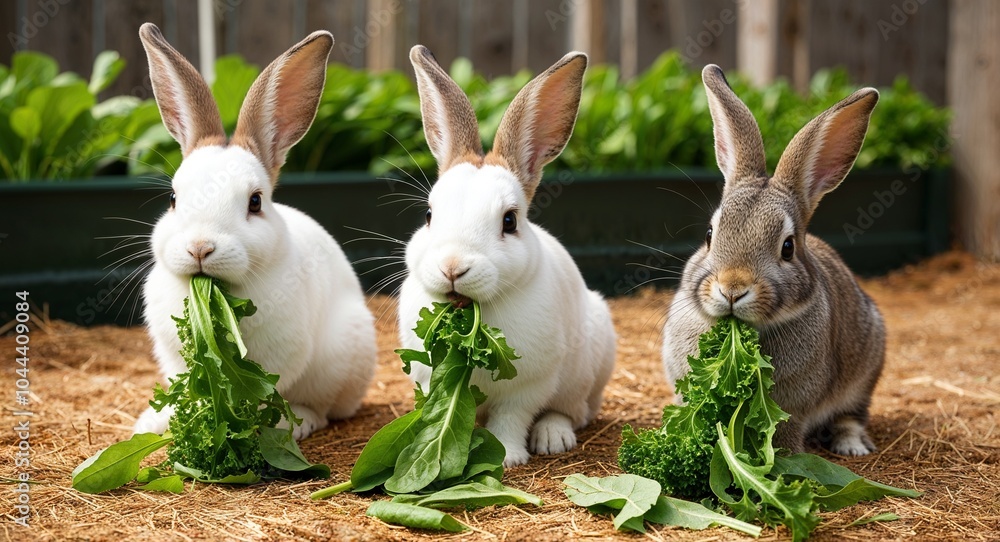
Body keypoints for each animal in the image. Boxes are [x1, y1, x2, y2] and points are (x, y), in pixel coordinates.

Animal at [132, 23, 376, 441]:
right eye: (173, 199)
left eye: (256, 202)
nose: (200, 248)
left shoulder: (281, 355)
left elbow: (265, 392)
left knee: (325, 409)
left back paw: (298, 422)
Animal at [397, 45, 617, 468]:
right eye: (429, 215)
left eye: (510, 221)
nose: (453, 267)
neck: (472, 314)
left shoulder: (527, 386)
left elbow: (511, 419)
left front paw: (506, 457)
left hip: (585, 375)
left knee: (571, 411)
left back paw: (553, 437)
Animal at [662, 64, 885, 457]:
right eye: (709, 235)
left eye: (788, 247)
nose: (732, 289)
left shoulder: (793, 406)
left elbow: (784, 431)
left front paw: (784, 459)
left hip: (866, 367)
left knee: (852, 414)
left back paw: (852, 445)